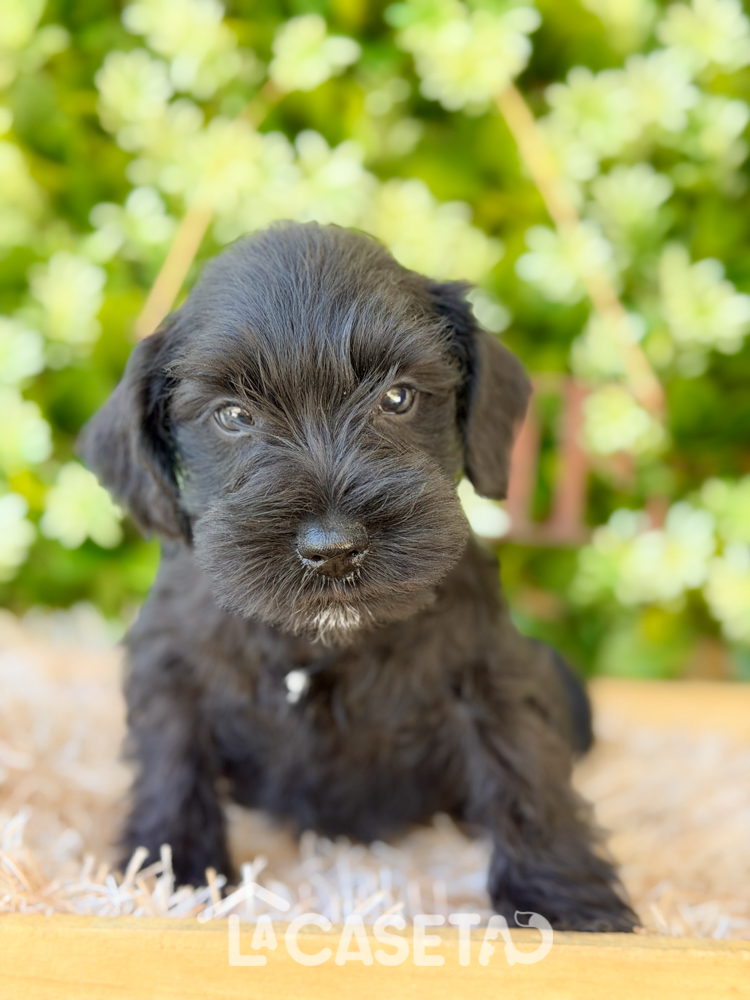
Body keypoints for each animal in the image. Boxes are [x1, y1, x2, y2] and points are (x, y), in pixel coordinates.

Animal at [84, 221, 637, 931]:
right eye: (232, 415)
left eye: (397, 396)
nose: (334, 548)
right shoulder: (171, 669)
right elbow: (171, 758)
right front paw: (174, 867)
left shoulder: (490, 674)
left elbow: (525, 769)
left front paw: (564, 900)